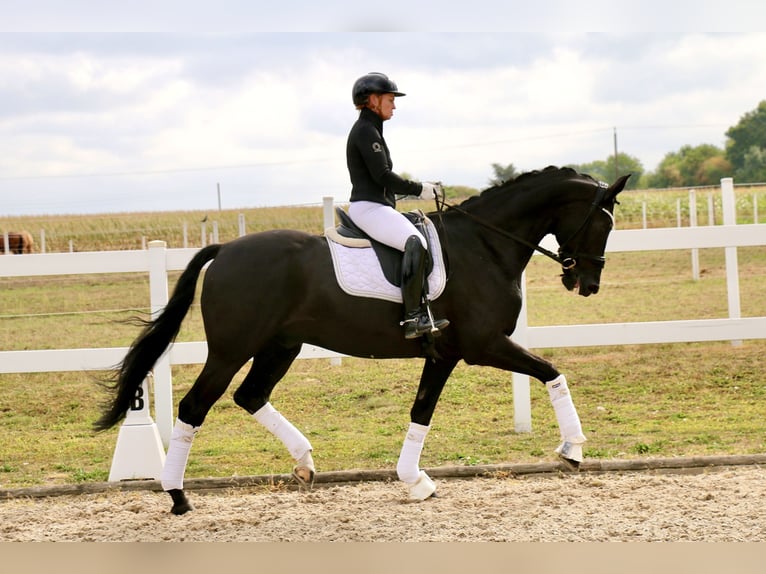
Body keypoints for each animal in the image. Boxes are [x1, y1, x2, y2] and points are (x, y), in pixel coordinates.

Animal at [95, 166, 630, 515]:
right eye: (603, 222)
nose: (587, 283)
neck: (484, 245)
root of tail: (225, 249)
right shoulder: (483, 347)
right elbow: (552, 372)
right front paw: (573, 448)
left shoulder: (446, 353)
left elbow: (421, 411)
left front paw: (415, 481)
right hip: (231, 350)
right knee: (194, 406)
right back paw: (178, 496)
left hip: (280, 346)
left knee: (251, 395)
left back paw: (305, 464)